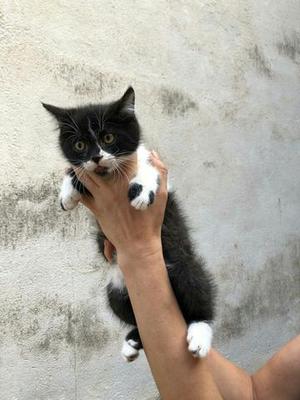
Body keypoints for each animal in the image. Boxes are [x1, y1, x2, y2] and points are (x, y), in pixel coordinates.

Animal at [42, 87, 216, 362]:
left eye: (109, 137)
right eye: (80, 144)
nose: (96, 157)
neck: (109, 176)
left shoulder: (151, 164)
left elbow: (148, 169)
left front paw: (142, 191)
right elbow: (76, 170)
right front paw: (67, 193)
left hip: (182, 265)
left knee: (197, 291)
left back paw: (199, 333)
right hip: (116, 290)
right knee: (137, 319)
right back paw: (133, 341)